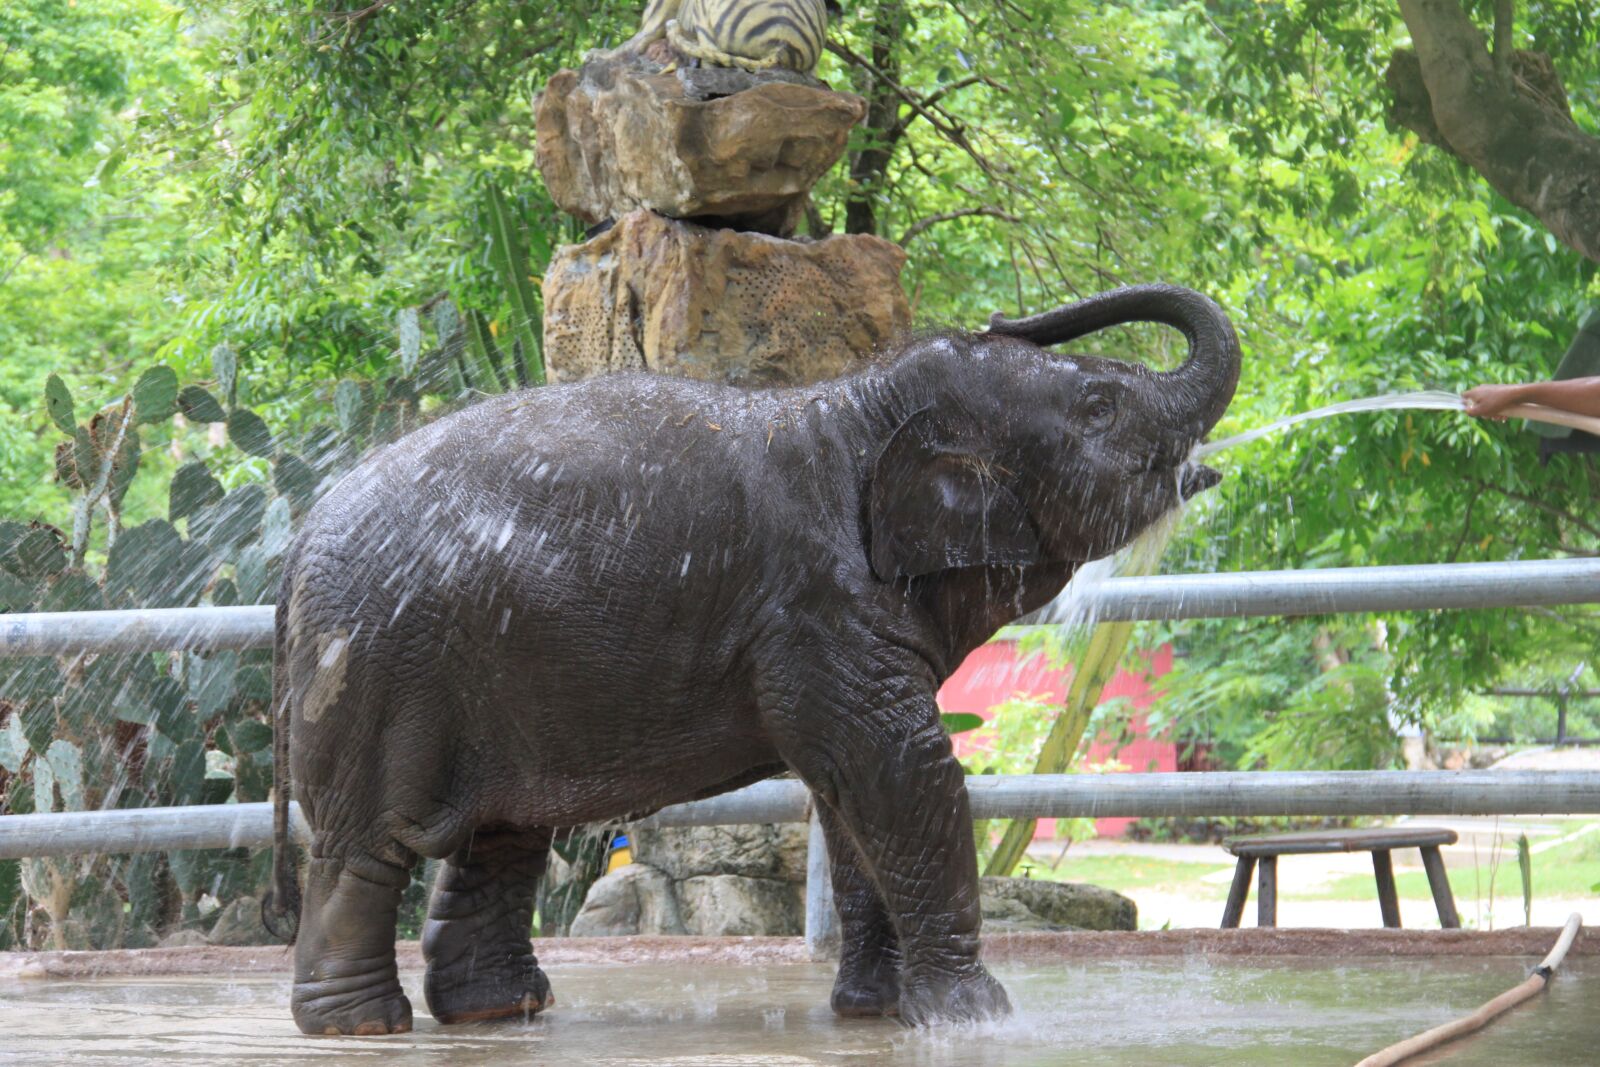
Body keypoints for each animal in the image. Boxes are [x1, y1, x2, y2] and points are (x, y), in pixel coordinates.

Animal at [264, 282, 1240, 1035]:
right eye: (1099, 407)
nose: (1004, 313)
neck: (858, 401)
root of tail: (298, 541)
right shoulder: (815, 605)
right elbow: (903, 768)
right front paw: (976, 1020)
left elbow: (852, 796)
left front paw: (880, 1013)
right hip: (378, 665)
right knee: (370, 847)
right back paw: (364, 1026)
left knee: (499, 834)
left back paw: (500, 1012)